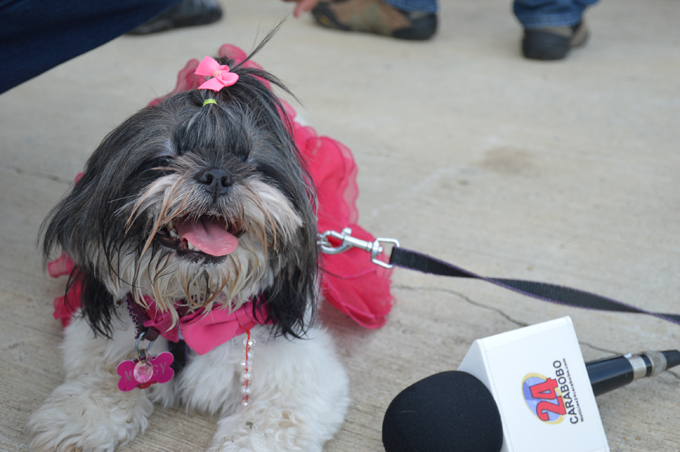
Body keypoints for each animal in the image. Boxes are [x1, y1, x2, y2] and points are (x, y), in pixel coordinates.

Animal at [28, 38, 350, 452]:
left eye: (250, 162)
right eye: (166, 158)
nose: (217, 174)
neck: (192, 304)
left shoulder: (300, 374)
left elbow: (271, 418)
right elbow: (103, 379)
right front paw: (79, 420)